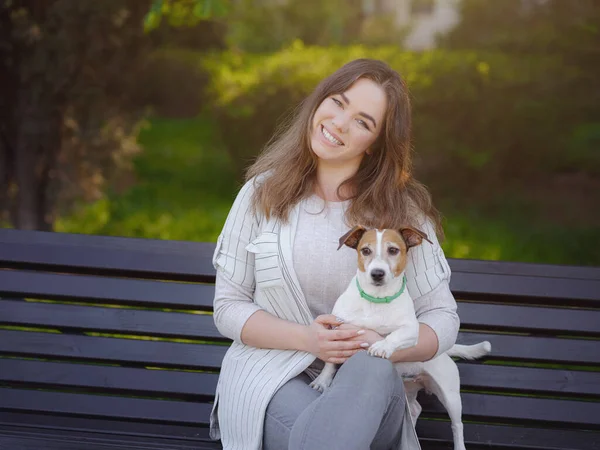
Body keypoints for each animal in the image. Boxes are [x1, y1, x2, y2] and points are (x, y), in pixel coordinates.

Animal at [312, 227, 490, 450]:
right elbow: (330, 362)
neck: (376, 299)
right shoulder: (336, 326)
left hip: (450, 395)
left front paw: (382, 346)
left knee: (457, 425)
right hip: (407, 389)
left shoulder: (411, 330)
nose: (377, 273)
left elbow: (394, 335)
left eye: (393, 250)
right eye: (366, 250)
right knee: (415, 408)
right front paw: (323, 380)